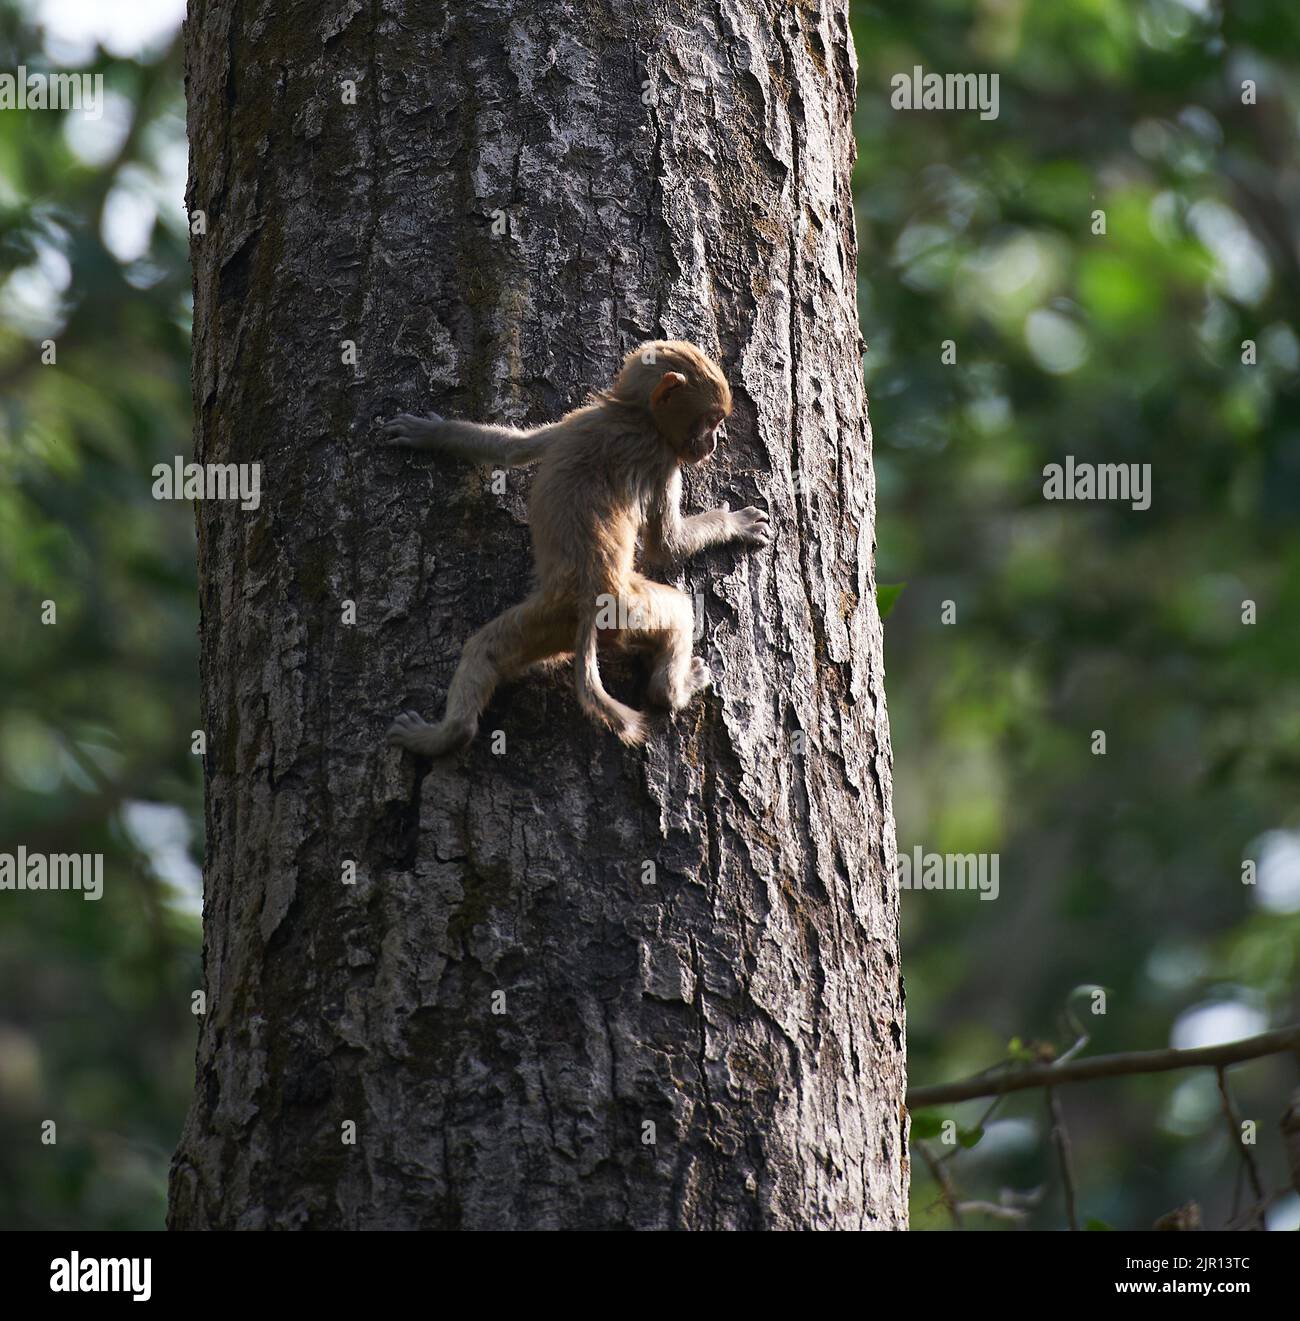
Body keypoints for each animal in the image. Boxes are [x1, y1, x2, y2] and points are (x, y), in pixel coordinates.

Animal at [378, 340, 769, 756]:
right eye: (710, 420)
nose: (714, 442)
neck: (635, 415)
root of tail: (589, 600)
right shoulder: (653, 454)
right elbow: (664, 545)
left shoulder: (591, 428)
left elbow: (513, 450)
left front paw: (429, 433)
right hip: (599, 613)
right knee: (676, 612)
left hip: (584, 614)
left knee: (486, 650)